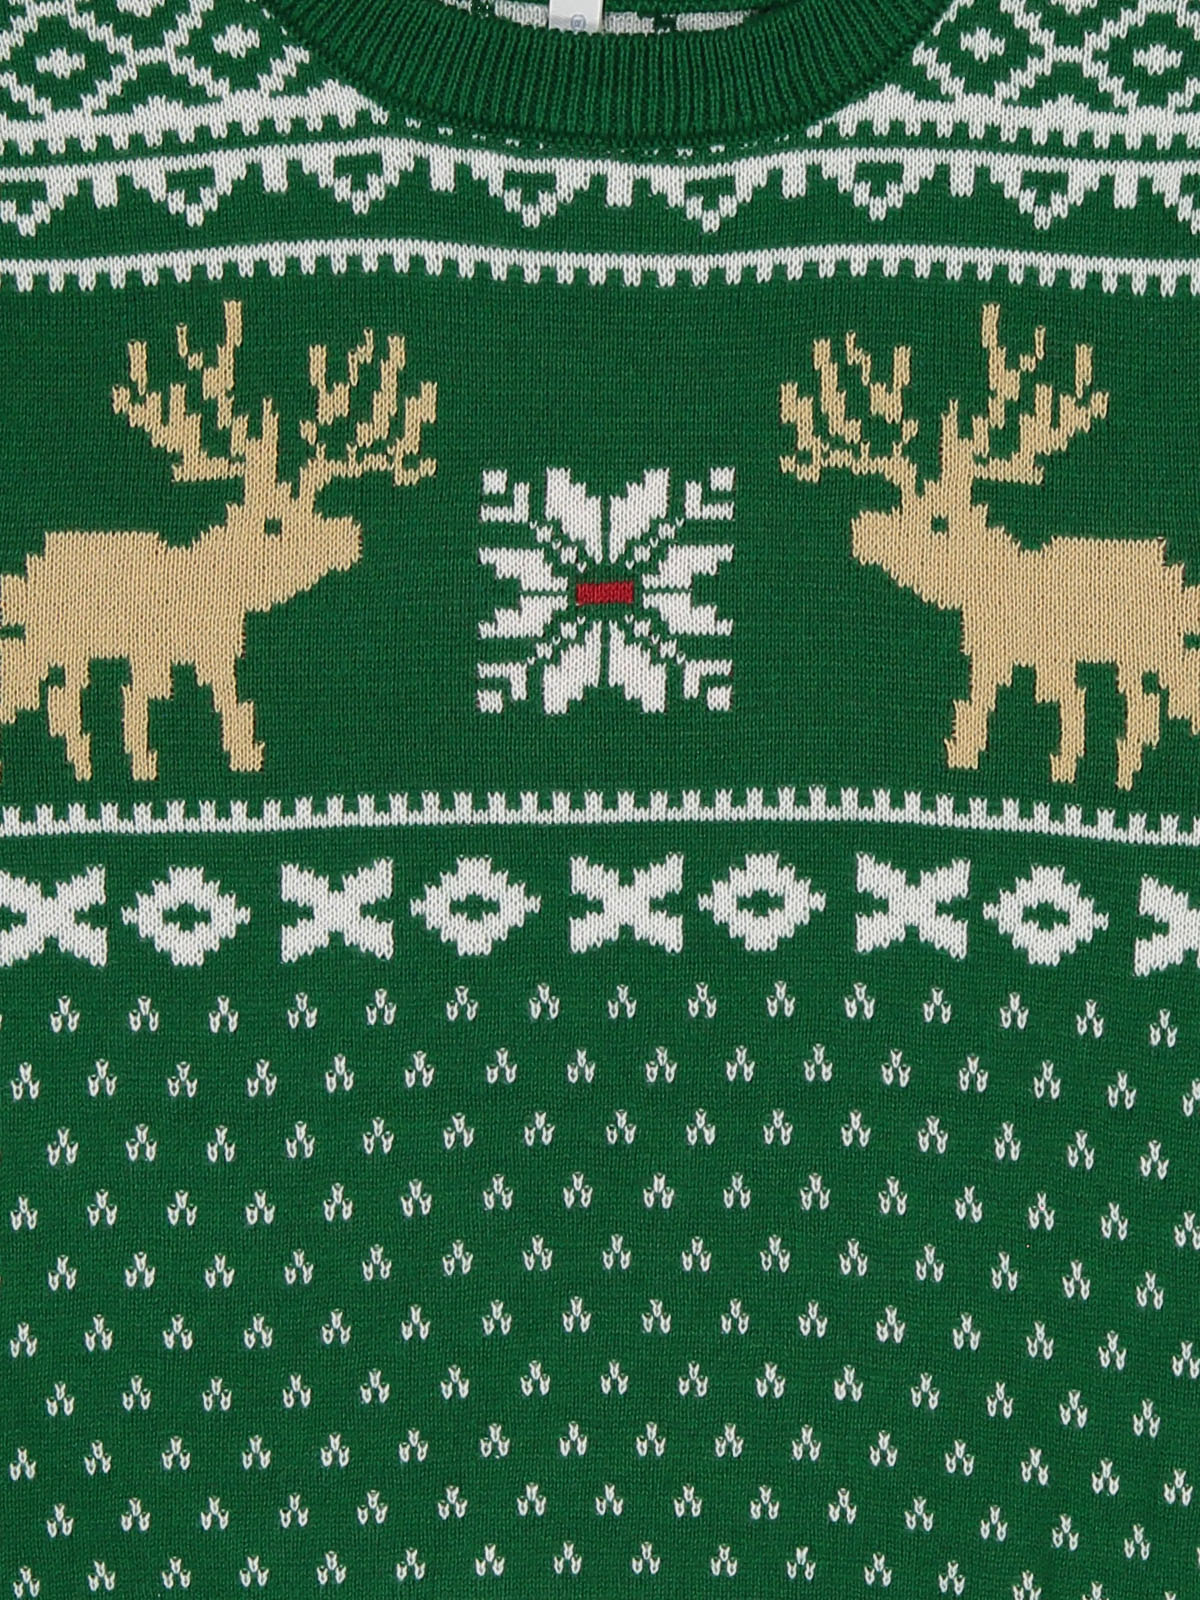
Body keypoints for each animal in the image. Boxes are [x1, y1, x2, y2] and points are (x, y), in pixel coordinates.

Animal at [0, 298, 436, 782]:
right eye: (273, 523)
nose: (348, 537)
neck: (212, 582)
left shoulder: (209, 652)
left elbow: (224, 705)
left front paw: (234, 754)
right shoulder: (157, 651)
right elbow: (145, 709)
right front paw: (149, 766)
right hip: (55, 640)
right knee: (44, 690)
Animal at [779, 301, 1200, 791]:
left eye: (938, 520)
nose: (862, 530)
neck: (992, 582)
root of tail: (1176, 572)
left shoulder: (1040, 654)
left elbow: (1048, 707)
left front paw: (1044, 766)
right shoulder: (1008, 654)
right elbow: (1012, 706)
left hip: (1157, 645)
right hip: (1134, 657)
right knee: (1145, 706)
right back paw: (1126, 767)